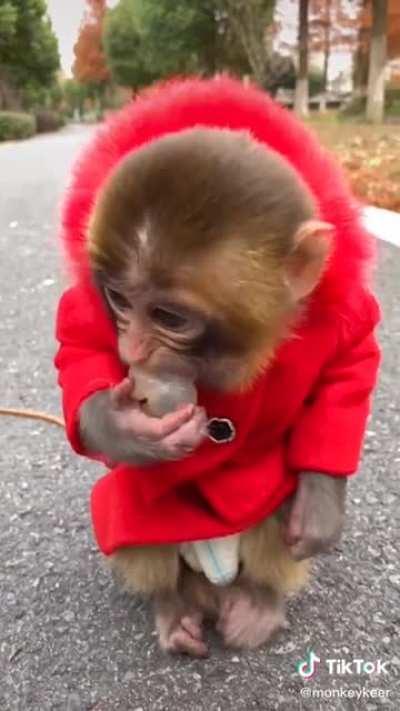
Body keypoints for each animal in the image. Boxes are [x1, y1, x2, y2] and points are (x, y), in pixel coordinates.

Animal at [55, 77, 380, 657]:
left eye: (168, 317)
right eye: (118, 300)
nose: (134, 350)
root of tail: (214, 585)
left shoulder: (341, 314)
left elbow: (352, 367)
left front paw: (321, 504)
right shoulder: (91, 316)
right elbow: (78, 348)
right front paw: (122, 429)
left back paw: (258, 602)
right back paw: (174, 608)